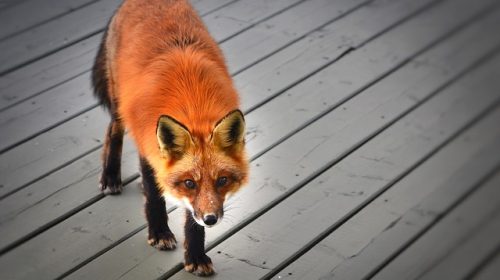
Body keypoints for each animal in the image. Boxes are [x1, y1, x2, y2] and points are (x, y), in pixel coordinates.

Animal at [91, 0, 249, 276]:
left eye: (222, 180)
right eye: (189, 183)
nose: (211, 219)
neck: (193, 104)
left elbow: (191, 220)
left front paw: (195, 255)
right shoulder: (148, 147)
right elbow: (155, 198)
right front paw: (159, 233)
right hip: (120, 104)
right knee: (113, 132)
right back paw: (110, 176)